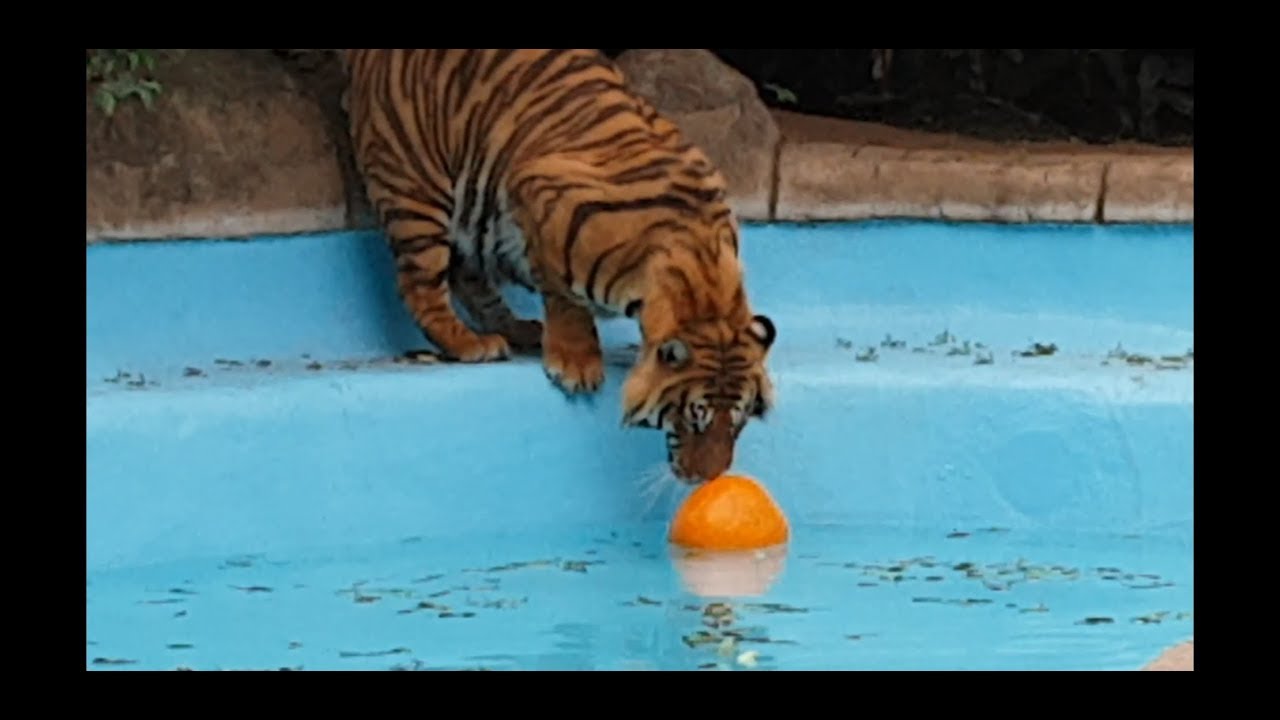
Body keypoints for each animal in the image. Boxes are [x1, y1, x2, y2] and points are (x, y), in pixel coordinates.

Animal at [342, 49, 777, 484]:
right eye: (694, 418)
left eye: (738, 422)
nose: (707, 478)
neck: (704, 275)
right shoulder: (540, 197)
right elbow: (564, 295)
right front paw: (576, 364)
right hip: (416, 192)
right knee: (420, 287)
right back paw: (470, 344)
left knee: (469, 277)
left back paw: (517, 328)